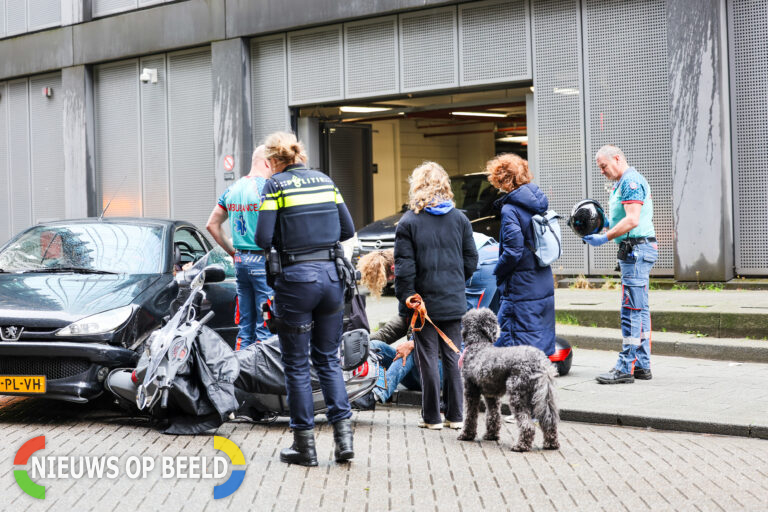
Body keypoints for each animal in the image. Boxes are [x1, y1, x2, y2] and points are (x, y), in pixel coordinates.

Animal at [456, 308, 560, 452]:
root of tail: (541, 364)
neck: (478, 345)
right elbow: (493, 415)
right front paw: (491, 435)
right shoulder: (491, 396)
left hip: (518, 396)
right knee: (549, 420)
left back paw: (521, 446)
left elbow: (470, 416)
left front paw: (466, 435)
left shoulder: (470, 391)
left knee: (527, 425)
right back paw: (551, 444)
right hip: (543, 397)